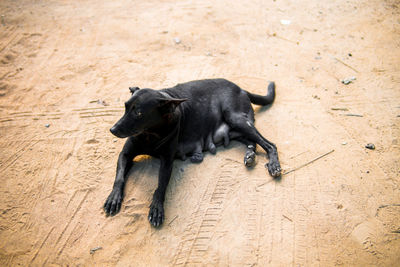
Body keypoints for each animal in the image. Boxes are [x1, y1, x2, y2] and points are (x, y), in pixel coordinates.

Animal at [103, 78, 282, 227]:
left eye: (139, 113)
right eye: (125, 107)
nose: (112, 129)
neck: (150, 134)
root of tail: (241, 89)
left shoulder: (167, 162)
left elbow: (160, 187)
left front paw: (157, 208)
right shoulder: (125, 155)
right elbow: (119, 178)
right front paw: (113, 198)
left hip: (236, 118)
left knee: (270, 145)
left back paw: (273, 165)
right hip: (235, 129)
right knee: (252, 142)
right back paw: (249, 155)